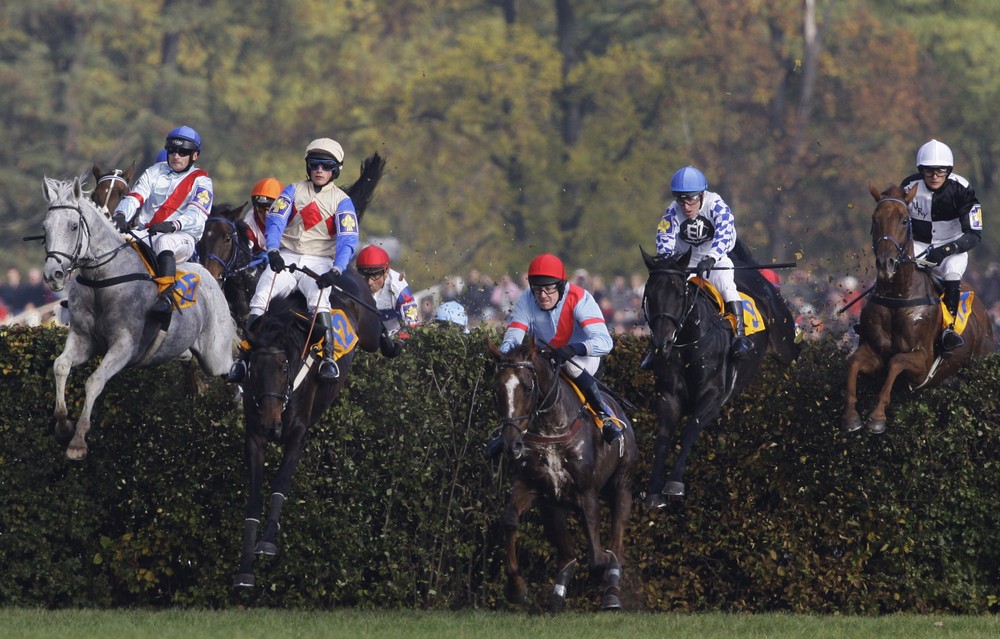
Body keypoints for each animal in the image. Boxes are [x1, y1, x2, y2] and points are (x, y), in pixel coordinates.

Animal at [40, 176, 235, 460]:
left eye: (73, 225)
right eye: (45, 227)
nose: (52, 275)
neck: (103, 281)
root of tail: (208, 274)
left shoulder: (125, 345)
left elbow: (94, 381)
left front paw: (78, 441)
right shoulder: (82, 339)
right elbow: (60, 366)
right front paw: (63, 426)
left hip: (215, 356)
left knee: (234, 372)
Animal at [232, 266, 384, 592]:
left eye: (283, 367)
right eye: (253, 368)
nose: (272, 424)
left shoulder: (298, 433)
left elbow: (280, 482)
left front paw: (267, 542)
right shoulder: (254, 436)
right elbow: (254, 499)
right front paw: (245, 570)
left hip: (369, 328)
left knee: (380, 336)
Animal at [486, 342, 640, 612]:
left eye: (527, 387)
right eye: (497, 389)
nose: (510, 445)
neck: (551, 429)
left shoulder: (587, 493)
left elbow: (597, 559)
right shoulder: (532, 486)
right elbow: (509, 520)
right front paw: (516, 588)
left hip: (622, 483)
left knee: (617, 543)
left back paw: (611, 592)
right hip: (554, 506)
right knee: (568, 553)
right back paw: (557, 596)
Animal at [644, 242, 800, 508]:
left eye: (679, 293)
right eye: (650, 294)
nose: (662, 342)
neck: (688, 342)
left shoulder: (713, 396)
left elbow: (690, 430)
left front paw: (674, 484)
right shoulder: (668, 396)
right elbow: (662, 440)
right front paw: (654, 492)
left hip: (785, 344)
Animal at [840, 185, 996, 436]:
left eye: (905, 220)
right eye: (875, 219)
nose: (886, 263)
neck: (899, 296)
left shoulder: (922, 364)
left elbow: (896, 362)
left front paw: (877, 417)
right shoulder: (873, 352)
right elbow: (853, 362)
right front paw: (851, 417)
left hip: (978, 362)